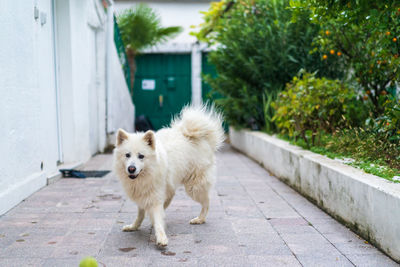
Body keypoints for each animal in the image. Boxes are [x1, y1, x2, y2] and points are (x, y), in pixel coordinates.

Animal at [113, 106, 225, 247]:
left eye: (141, 156)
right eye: (127, 155)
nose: (131, 169)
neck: (147, 173)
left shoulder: (154, 196)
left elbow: (157, 218)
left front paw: (161, 237)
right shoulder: (143, 194)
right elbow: (141, 215)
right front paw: (134, 226)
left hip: (193, 187)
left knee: (207, 201)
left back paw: (200, 219)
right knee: (171, 197)